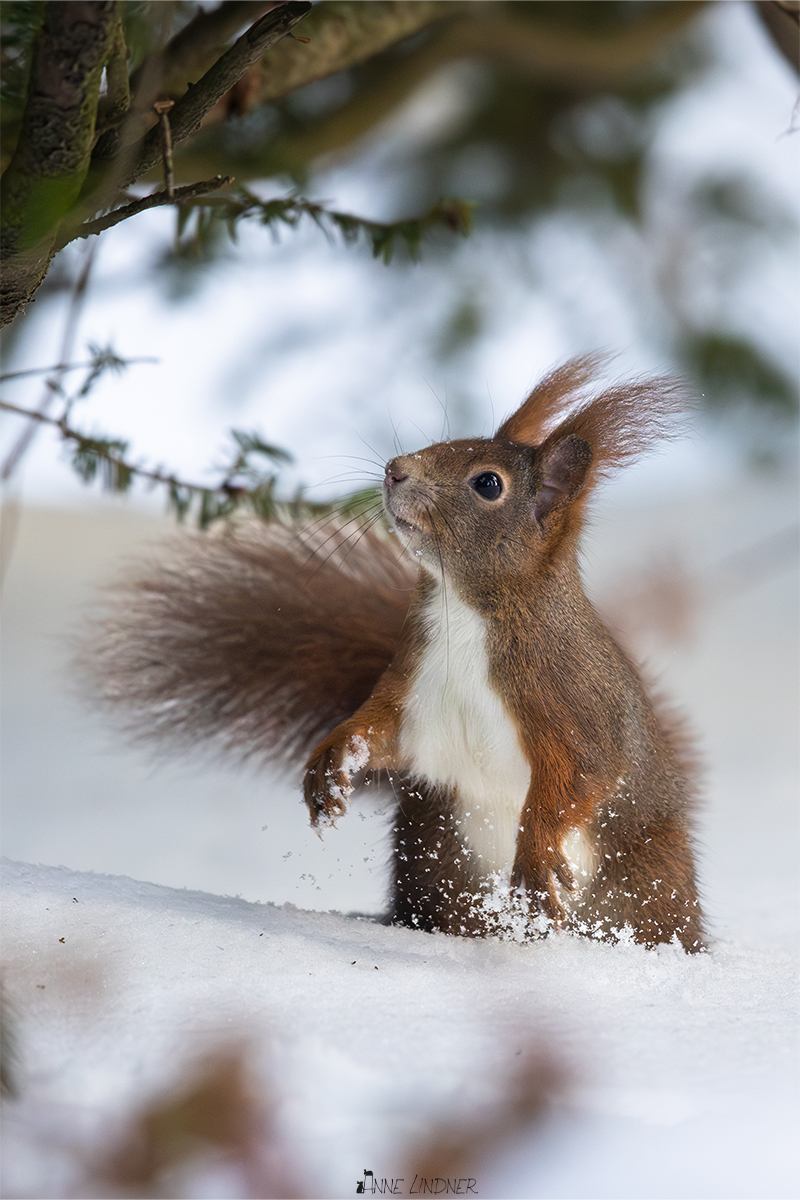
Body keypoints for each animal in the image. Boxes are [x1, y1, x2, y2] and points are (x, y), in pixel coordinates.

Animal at [87, 355, 705, 952]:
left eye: (488, 484)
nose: (394, 468)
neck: (464, 613)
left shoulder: (574, 698)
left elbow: (582, 772)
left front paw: (535, 857)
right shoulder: (417, 688)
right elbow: (382, 729)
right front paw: (332, 762)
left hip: (646, 885)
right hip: (433, 854)